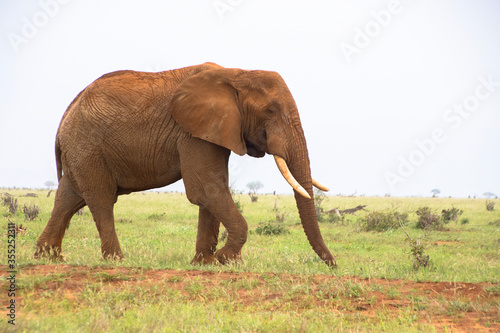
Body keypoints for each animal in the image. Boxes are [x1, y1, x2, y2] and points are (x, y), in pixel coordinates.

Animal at [35, 61, 338, 264]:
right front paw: (224, 259)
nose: (333, 265)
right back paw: (116, 260)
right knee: (100, 198)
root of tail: (66, 114)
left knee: (68, 197)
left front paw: (205, 263)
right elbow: (206, 189)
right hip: (88, 147)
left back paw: (47, 257)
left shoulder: (214, 131)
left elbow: (212, 190)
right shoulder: (192, 131)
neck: (236, 73)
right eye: (271, 111)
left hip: (81, 151)